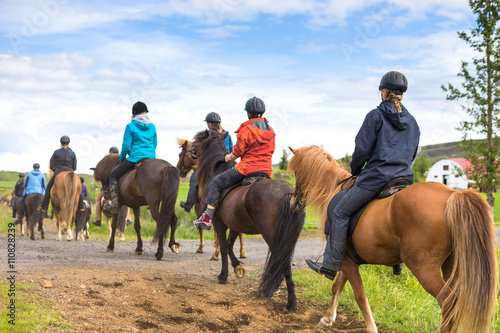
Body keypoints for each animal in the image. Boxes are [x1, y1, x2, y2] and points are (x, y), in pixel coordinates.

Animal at [193, 128, 306, 310]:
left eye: (197, 141)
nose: (191, 151)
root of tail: (289, 194)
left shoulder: (219, 223)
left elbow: (223, 247)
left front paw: (223, 276)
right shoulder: (235, 225)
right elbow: (230, 245)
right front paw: (237, 266)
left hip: (273, 237)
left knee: (282, 261)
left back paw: (288, 302)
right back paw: (290, 300)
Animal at [288, 145, 498, 332]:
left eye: (297, 173)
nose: (293, 203)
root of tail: (452, 194)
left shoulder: (346, 260)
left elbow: (360, 297)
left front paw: (370, 328)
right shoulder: (348, 260)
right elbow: (337, 286)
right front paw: (327, 319)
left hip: (424, 268)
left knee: (448, 302)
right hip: (451, 265)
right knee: (456, 305)